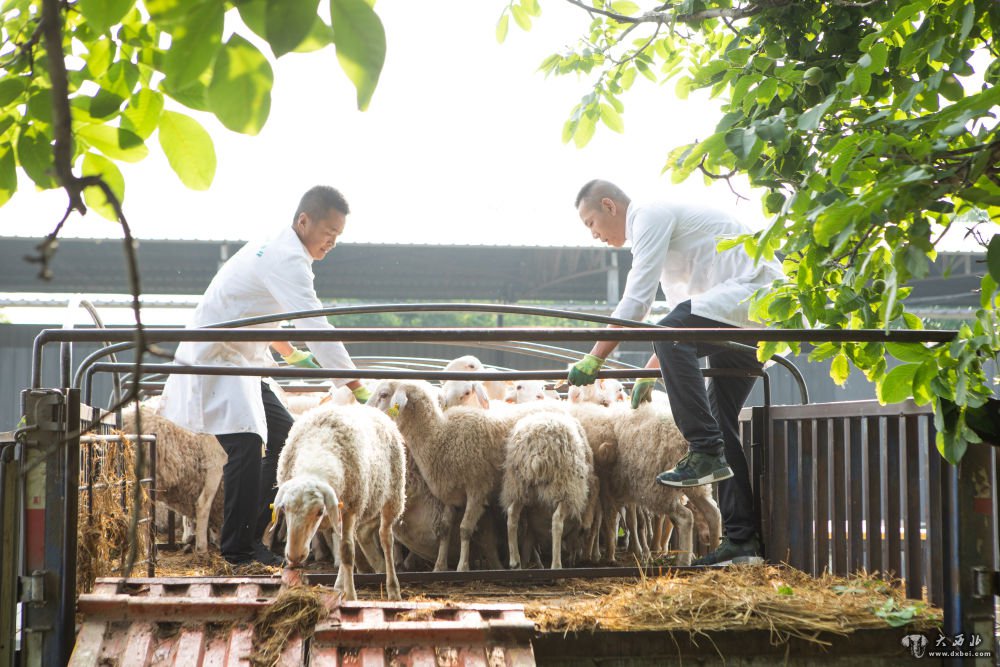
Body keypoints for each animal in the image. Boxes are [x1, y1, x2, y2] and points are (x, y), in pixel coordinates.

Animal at [272, 404, 408, 604]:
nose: (294, 557)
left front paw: (351, 596)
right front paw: (344, 590)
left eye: (319, 512)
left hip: (393, 496)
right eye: (284, 509)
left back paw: (393, 589)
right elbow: (343, 548)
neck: (317, 451)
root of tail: (372, 409)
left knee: (386, 538)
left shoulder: (352, 508)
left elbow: (347, 551)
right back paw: (338, 586)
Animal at [500, 412, 592, 568]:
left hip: (520, 485)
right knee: (557, 520)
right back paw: (556, 564)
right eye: (580, 533)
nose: (576, 558)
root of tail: (538, 448)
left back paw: (514, 561)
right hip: (564, 486)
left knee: (512, 514)